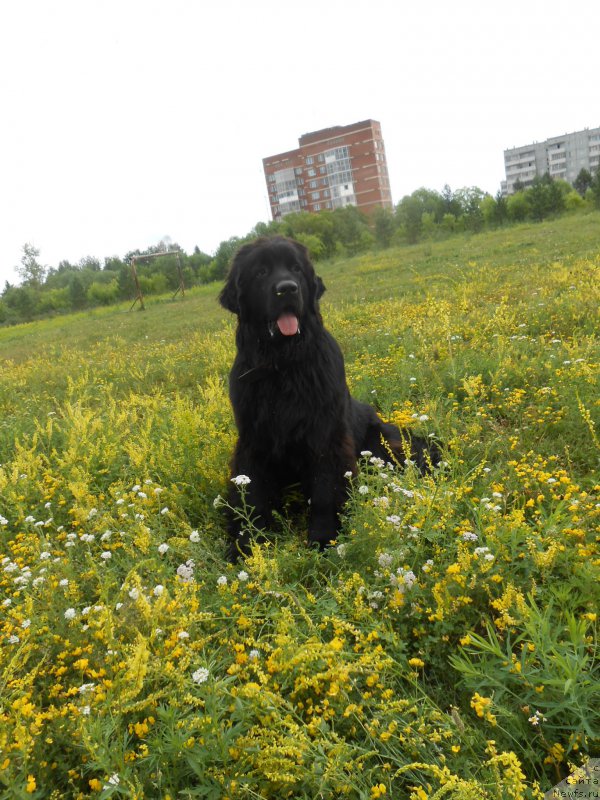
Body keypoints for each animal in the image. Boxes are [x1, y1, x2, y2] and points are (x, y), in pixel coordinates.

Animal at [218, 234, 438, 560]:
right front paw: (247, 544)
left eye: (296, 269)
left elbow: (325, 490)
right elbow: (252, 491)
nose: (287, 288)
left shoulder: (325, 436)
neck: (283, 366)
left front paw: (324, 539)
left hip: (379, 445)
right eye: (261, 272)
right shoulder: (253, 439)